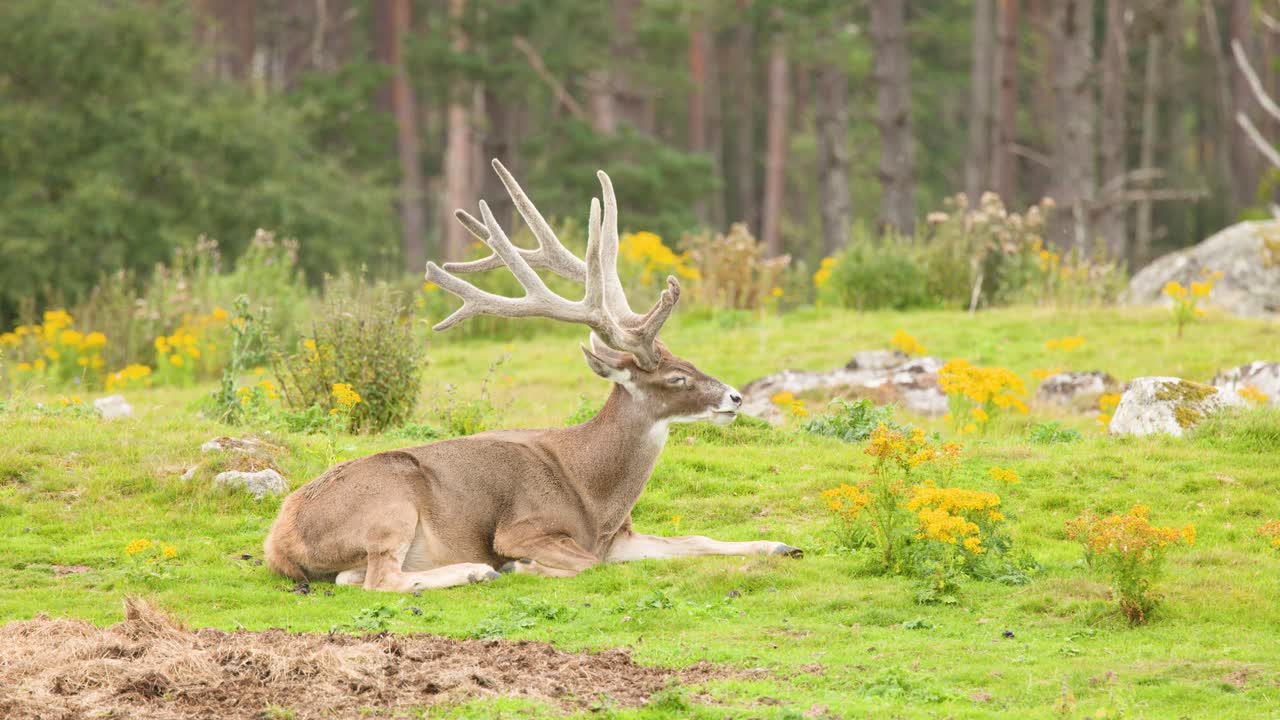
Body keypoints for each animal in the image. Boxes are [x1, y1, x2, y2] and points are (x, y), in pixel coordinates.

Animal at [264, 159, 802, 592]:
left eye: (689, 364)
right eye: (675, 380)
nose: (735, 397)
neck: (595, 499)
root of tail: (278, 539)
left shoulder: (622, 537)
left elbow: (695, 537)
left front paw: (781, 545)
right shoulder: (522, 526)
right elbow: (587, 564)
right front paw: (520, 567)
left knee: (354, 577)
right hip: (387, 506)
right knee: (378, 579)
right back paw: (477, 570)